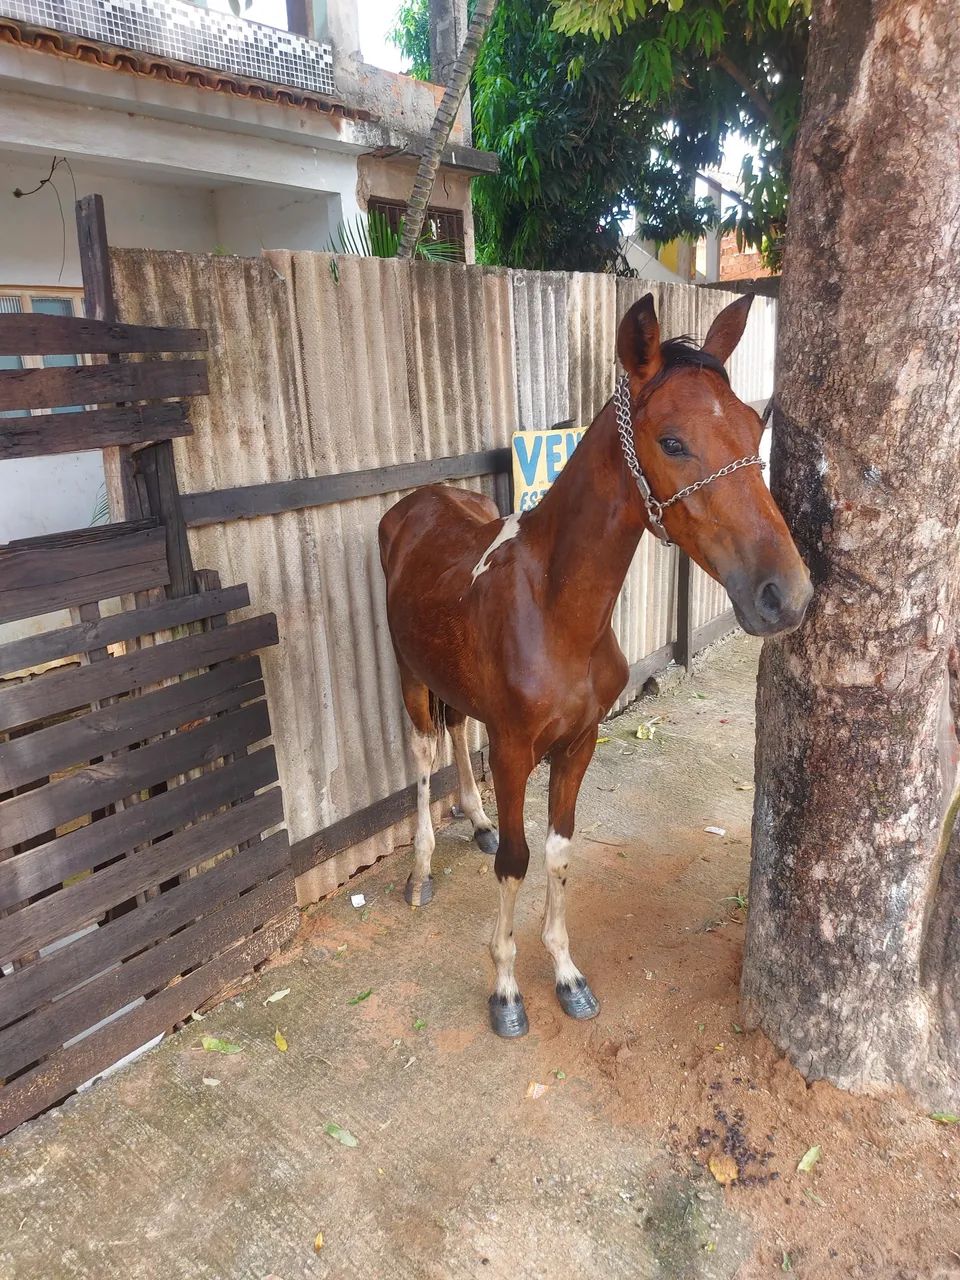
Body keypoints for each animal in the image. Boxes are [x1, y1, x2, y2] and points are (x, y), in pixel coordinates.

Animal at [378, 292, 812, 1038]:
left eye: (754, 429)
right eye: (672, 441)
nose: (785, 594)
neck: (556, 611)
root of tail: (411, 508)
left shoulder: (579, 742)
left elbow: (558, 851)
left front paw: (567, 975)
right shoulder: (515, 751)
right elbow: (519, 862)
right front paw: (505, 991)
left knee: (457, 732)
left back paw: (477, 821)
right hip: (408, 675)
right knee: (424, 751)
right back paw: (422, 871)